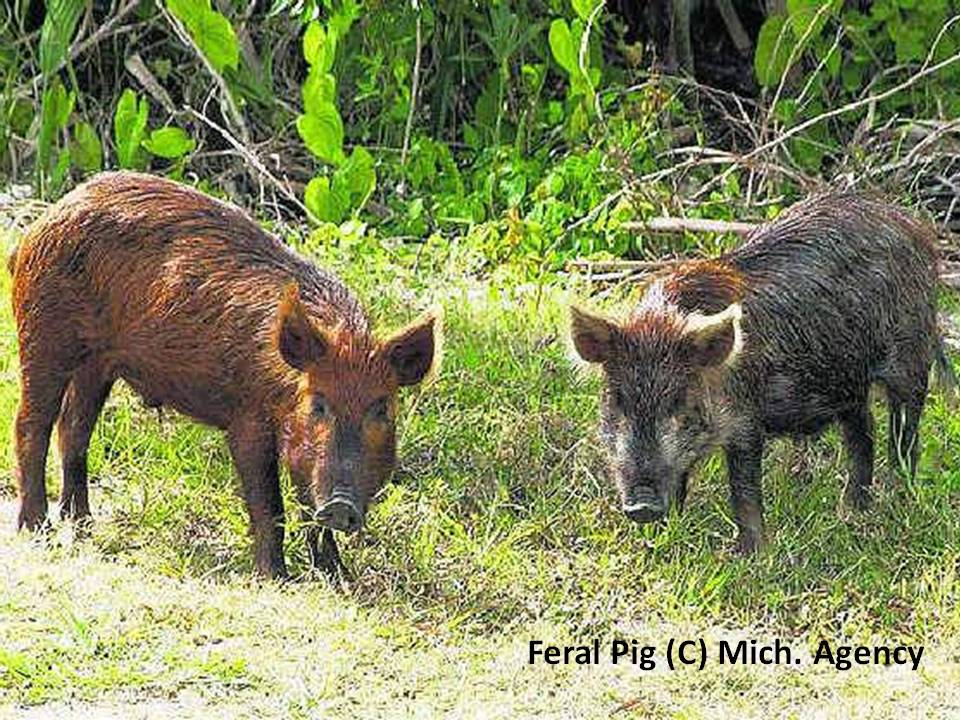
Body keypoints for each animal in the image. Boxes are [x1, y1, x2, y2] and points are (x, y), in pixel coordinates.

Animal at [9, 171, 438, 579]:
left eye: (382, 409)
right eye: (317, 404)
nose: (341, 505)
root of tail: (43, 221)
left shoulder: (301, 450)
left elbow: (307, 505)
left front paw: (338, 576)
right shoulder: (247, 420)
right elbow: (270, 504)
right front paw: (276, 578)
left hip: (97, 363)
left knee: (74, 429)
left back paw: (82, 524)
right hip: (44, 333)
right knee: (31, 423)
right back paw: (37, 528)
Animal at [570, 193, 949, 553]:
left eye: (679, 402)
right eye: (618, 401)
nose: (642, 507)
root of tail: (913, 226)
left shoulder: (746, 420)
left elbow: (744, 487)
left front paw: (750, 554)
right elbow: (681, 479)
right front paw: (660, 539)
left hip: (910, 358)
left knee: (904, 436)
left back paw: (897, 501)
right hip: (847, 384)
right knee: (863, 431)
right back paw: (853, 510)